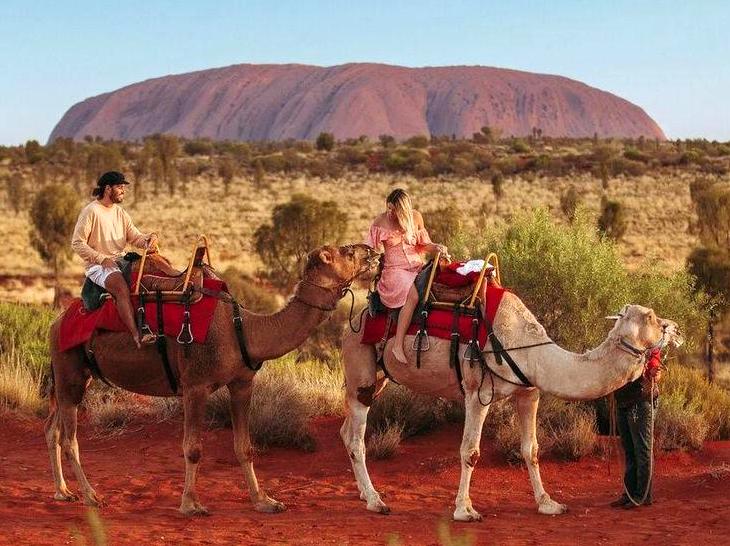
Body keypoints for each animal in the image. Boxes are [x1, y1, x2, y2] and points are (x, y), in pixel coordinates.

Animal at [47, 242, 376, 516]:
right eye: (346, 252)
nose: (371, 250)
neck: (244, 329)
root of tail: (56, 322)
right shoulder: (196, 386)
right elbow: (193, 448)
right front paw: (190, 504)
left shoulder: (242, 383)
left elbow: (245, 447)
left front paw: (264, 501)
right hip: (69, 372)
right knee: (69, 438)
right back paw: (91, 496)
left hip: (77, 376)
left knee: (53, 429)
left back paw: (63, 492)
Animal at [342, 292, 684, 520]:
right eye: (651, 316)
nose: (677, 329)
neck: (531, 350)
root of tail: (353, 321)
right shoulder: (477, 392)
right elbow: (471, 451)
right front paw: (465, 510)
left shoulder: (528, 393)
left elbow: (531, 449)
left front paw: (548, 504)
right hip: (361, 367)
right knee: (358, 438)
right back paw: (376, 501)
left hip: (378, 377)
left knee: (347, 432)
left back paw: (363, 493)